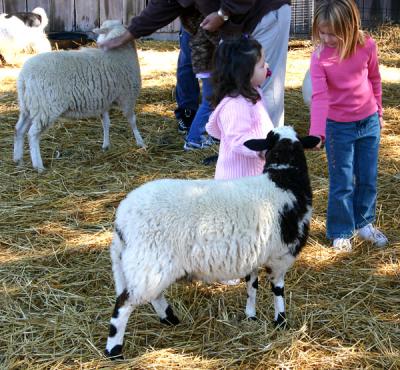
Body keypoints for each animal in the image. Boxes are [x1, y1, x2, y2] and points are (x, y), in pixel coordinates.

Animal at [13, 18, 145, 172]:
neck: (119, 53)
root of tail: (24, 77)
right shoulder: (127, 97)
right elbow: (132, 121)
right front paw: (141, 142)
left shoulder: (104, 100)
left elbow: (106, 123)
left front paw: (106, 145)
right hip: (46, 108)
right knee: (32, 134)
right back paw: (38, 166)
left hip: (30, 105)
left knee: (19, 130)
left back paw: (18, 159)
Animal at [104, 126, 318, 358]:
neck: (284, 180)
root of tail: (121, 221)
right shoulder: (280, 256)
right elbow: (278, 291)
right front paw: (281, 321)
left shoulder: (253, 255)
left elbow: (252, 287)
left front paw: (250, 316)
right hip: (149, 264)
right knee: (123, 305)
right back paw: (114, 351)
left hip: (148, 267)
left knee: (154, 297)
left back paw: (171, 320)